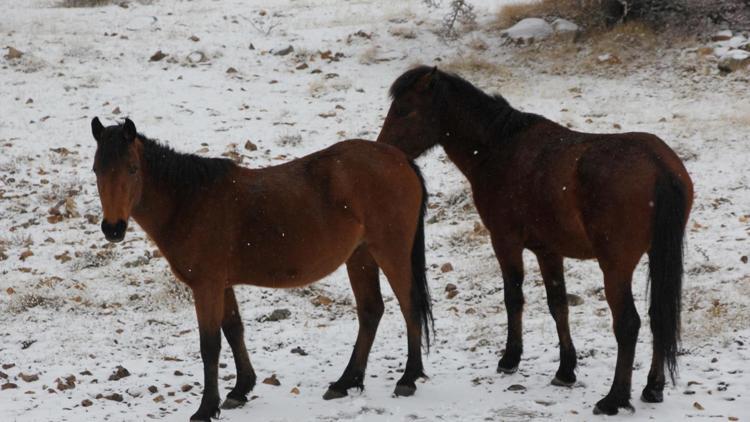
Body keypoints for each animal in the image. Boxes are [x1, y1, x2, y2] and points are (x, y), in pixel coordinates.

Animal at [91, 117, 434, 420]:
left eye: (132, 169)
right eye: (97, 170)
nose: (113, 228)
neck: (190, 202)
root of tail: (400, 159)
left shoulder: (206, 286)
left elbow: (210, 345)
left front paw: (205, 409)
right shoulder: (222, 284)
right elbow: (233, 330)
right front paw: (240, 390)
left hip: (390, 252)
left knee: (409, 305)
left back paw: (408, 378)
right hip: (360, 257)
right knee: (371, 311)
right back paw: (345, 382)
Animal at [378, 66, 696, 416]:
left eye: (404, 109)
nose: (383, 149)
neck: (500, 148)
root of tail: (657, 165)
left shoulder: (505, 242)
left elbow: (513, 298)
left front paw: (510, 358)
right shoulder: (548, 251)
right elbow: (558, 305)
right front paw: (566, 370)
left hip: (615, 266)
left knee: (628, 324)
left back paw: (613, 399)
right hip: (656, 257)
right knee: (658, 317)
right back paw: (653, 388)